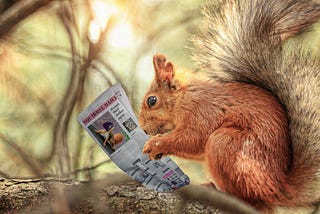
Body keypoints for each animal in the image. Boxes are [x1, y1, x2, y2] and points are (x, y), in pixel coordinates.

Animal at [138, 0, 320, 211]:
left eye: (152, 100)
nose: (143, 128)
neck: (184, 97)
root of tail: (278, 187)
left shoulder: (203, 110)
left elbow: (192, 138)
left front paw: (156, 143)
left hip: (227, 145)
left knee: (251, 199)